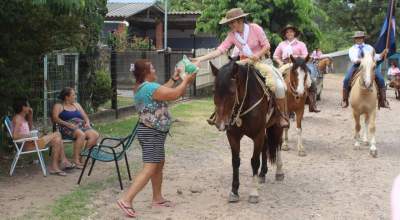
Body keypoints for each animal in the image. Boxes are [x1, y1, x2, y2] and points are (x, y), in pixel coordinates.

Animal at [209, 57, 284, 204]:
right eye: (214, 91)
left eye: (232, 92)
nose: (220, 123)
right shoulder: (232, 135)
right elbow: (235, 161)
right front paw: (234, 191)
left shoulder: (257, 135)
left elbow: (254, 161)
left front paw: (253, 193)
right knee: (266, 145)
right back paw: (262, 173)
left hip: (277, 126)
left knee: (278, 144)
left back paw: (279, 172)